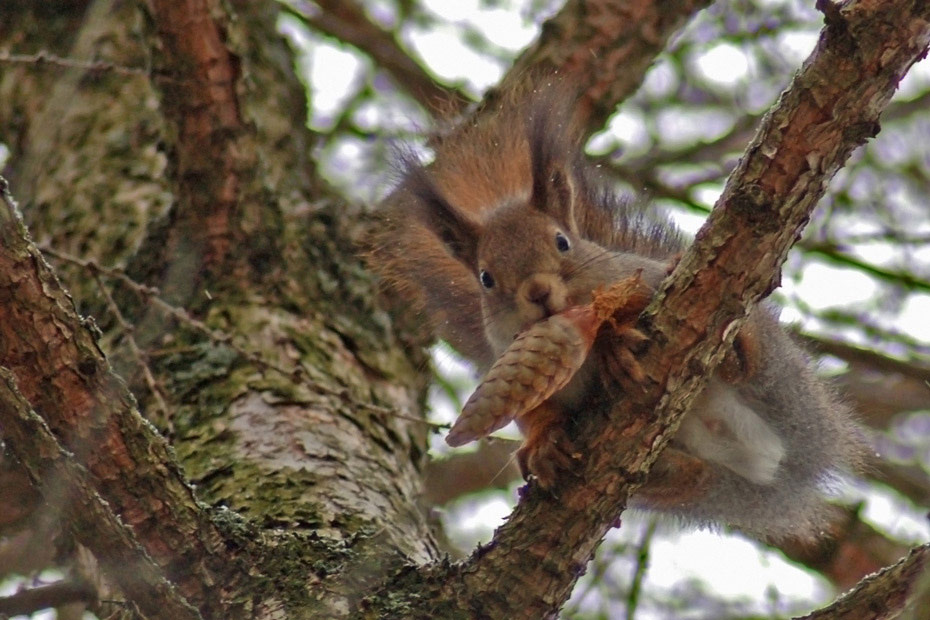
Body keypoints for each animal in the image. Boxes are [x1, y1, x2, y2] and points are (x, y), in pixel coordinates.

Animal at [368, 86, 866, 540]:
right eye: (486, 278)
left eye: (562, 241)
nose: (538, 291)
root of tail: (779, 468)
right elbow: (537, 413)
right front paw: (541, 446)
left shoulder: (638, 278)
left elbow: (633, 306)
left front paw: (614, 345)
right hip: (699, 483)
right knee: (690, 478)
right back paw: (668, 469)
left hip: (777, 377)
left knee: (749, 361)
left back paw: (731, 353)